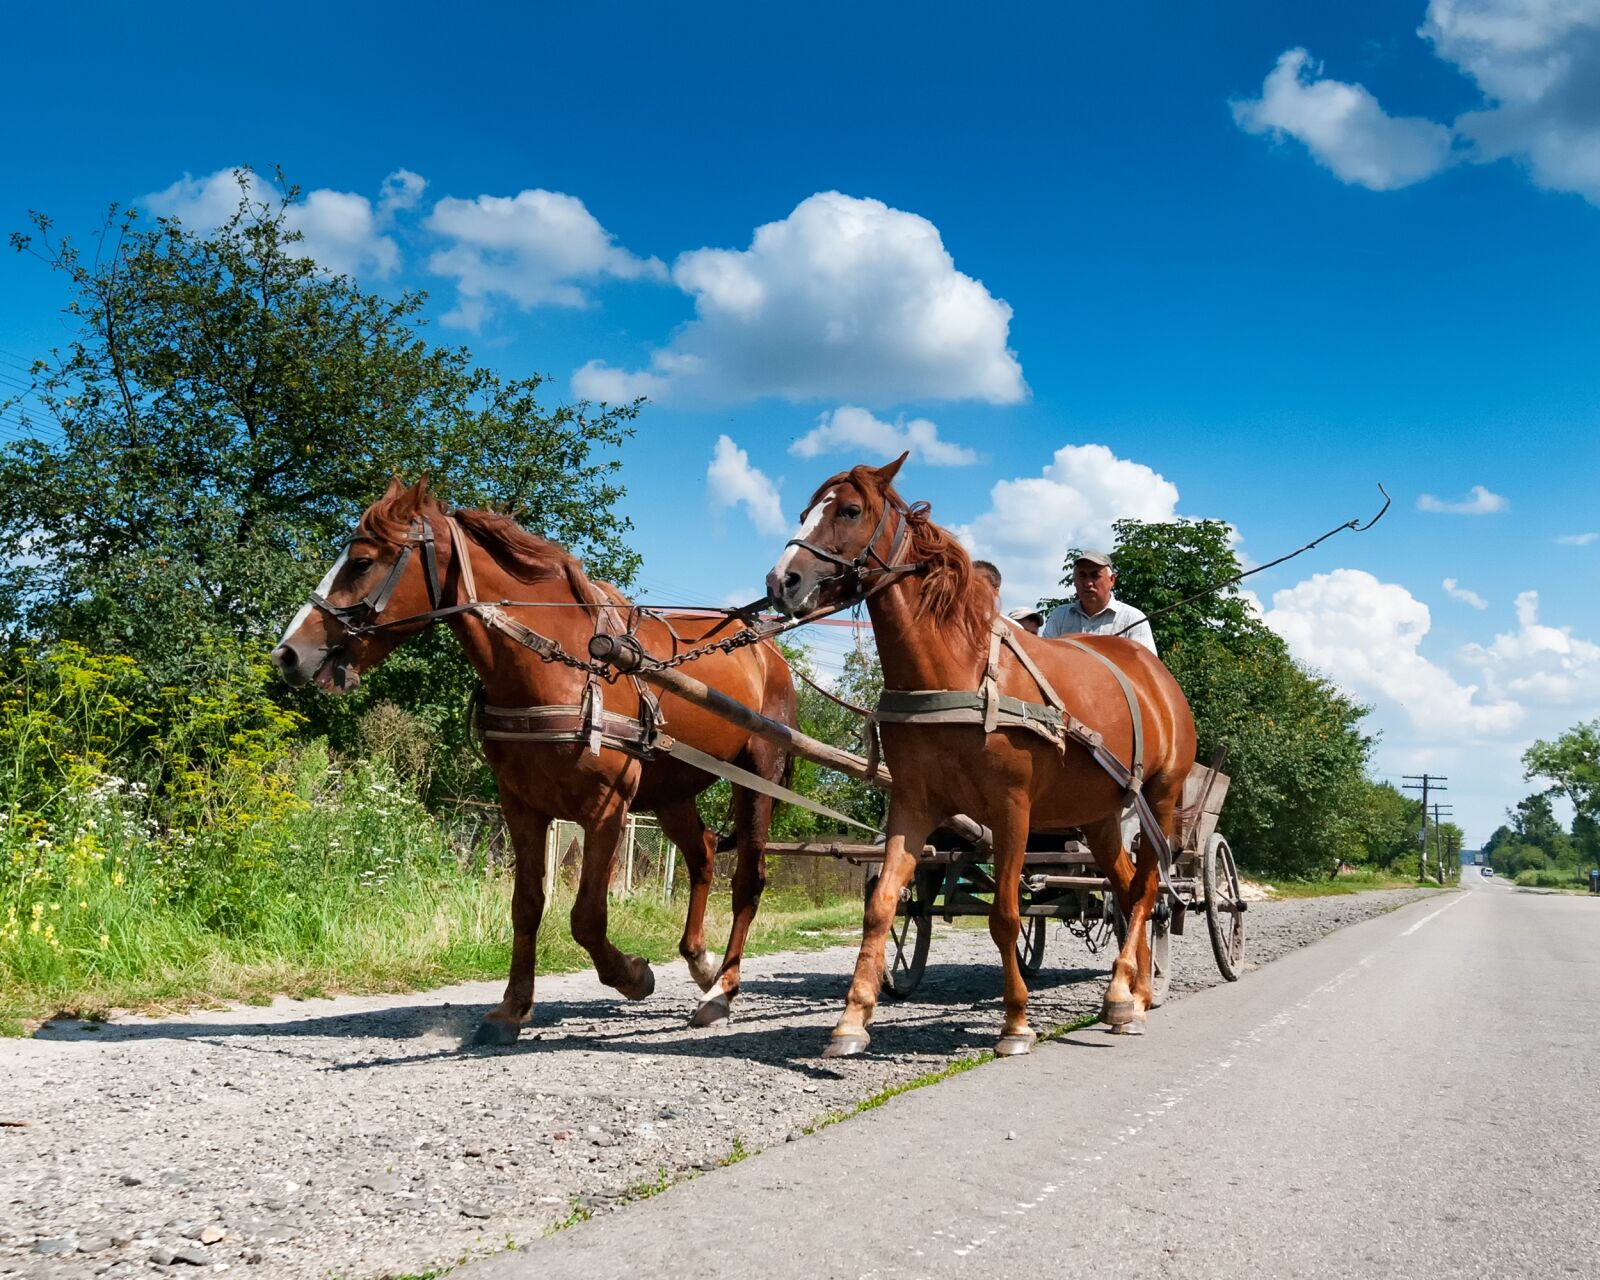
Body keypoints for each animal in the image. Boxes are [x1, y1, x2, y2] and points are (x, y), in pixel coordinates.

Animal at [271, 477, 797, 1042]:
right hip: (671, 792)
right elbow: (526, 906)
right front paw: (512, 1008)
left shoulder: (607, 810)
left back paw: (722, 991)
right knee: (702, 855)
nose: (287, 654)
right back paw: (702, 963)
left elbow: (586, 917)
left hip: (757, 777)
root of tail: (769, 653)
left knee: (747, 881)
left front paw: (634, 974)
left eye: (363, 561)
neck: (563, 666)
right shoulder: (522, 807)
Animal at [765, 455, 1196, 1057]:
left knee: (1150, 889)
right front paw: (852, 1021)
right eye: (805, 511)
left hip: (1158, 798)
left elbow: (1006, 915)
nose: (782, 581)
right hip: (1101, 815)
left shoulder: (1011, 809)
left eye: (849, 510)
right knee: (1128, 886)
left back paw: (1126, 997)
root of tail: (1155, 676)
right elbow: (882, 906)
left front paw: (1016, 1023)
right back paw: (1129, 993)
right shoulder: (914, 804)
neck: (958, 670)